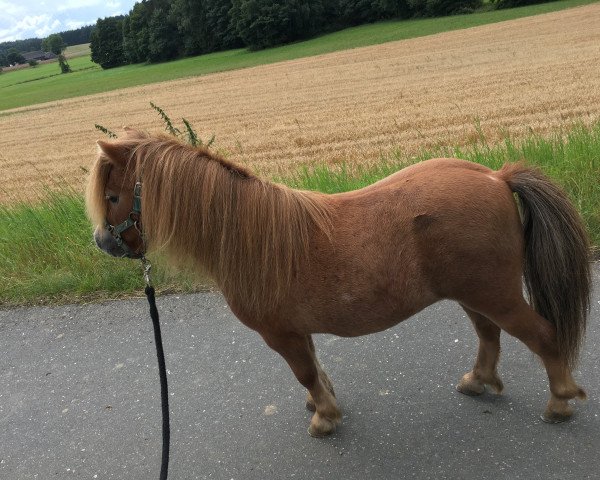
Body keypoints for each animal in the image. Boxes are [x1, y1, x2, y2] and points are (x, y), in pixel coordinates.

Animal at [85, 129, 592, 436]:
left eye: (112, 196)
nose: (102, 243)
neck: (250, 236)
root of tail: (496, 176)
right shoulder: (297, 331)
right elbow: (315, 367)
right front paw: (322, 404)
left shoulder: (281, 334)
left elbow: (305, 372)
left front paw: (325, 419)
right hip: (473, 294)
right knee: (489, 335)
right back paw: (477, 381)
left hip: (495, 295)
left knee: (543, 336)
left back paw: (559, 402)